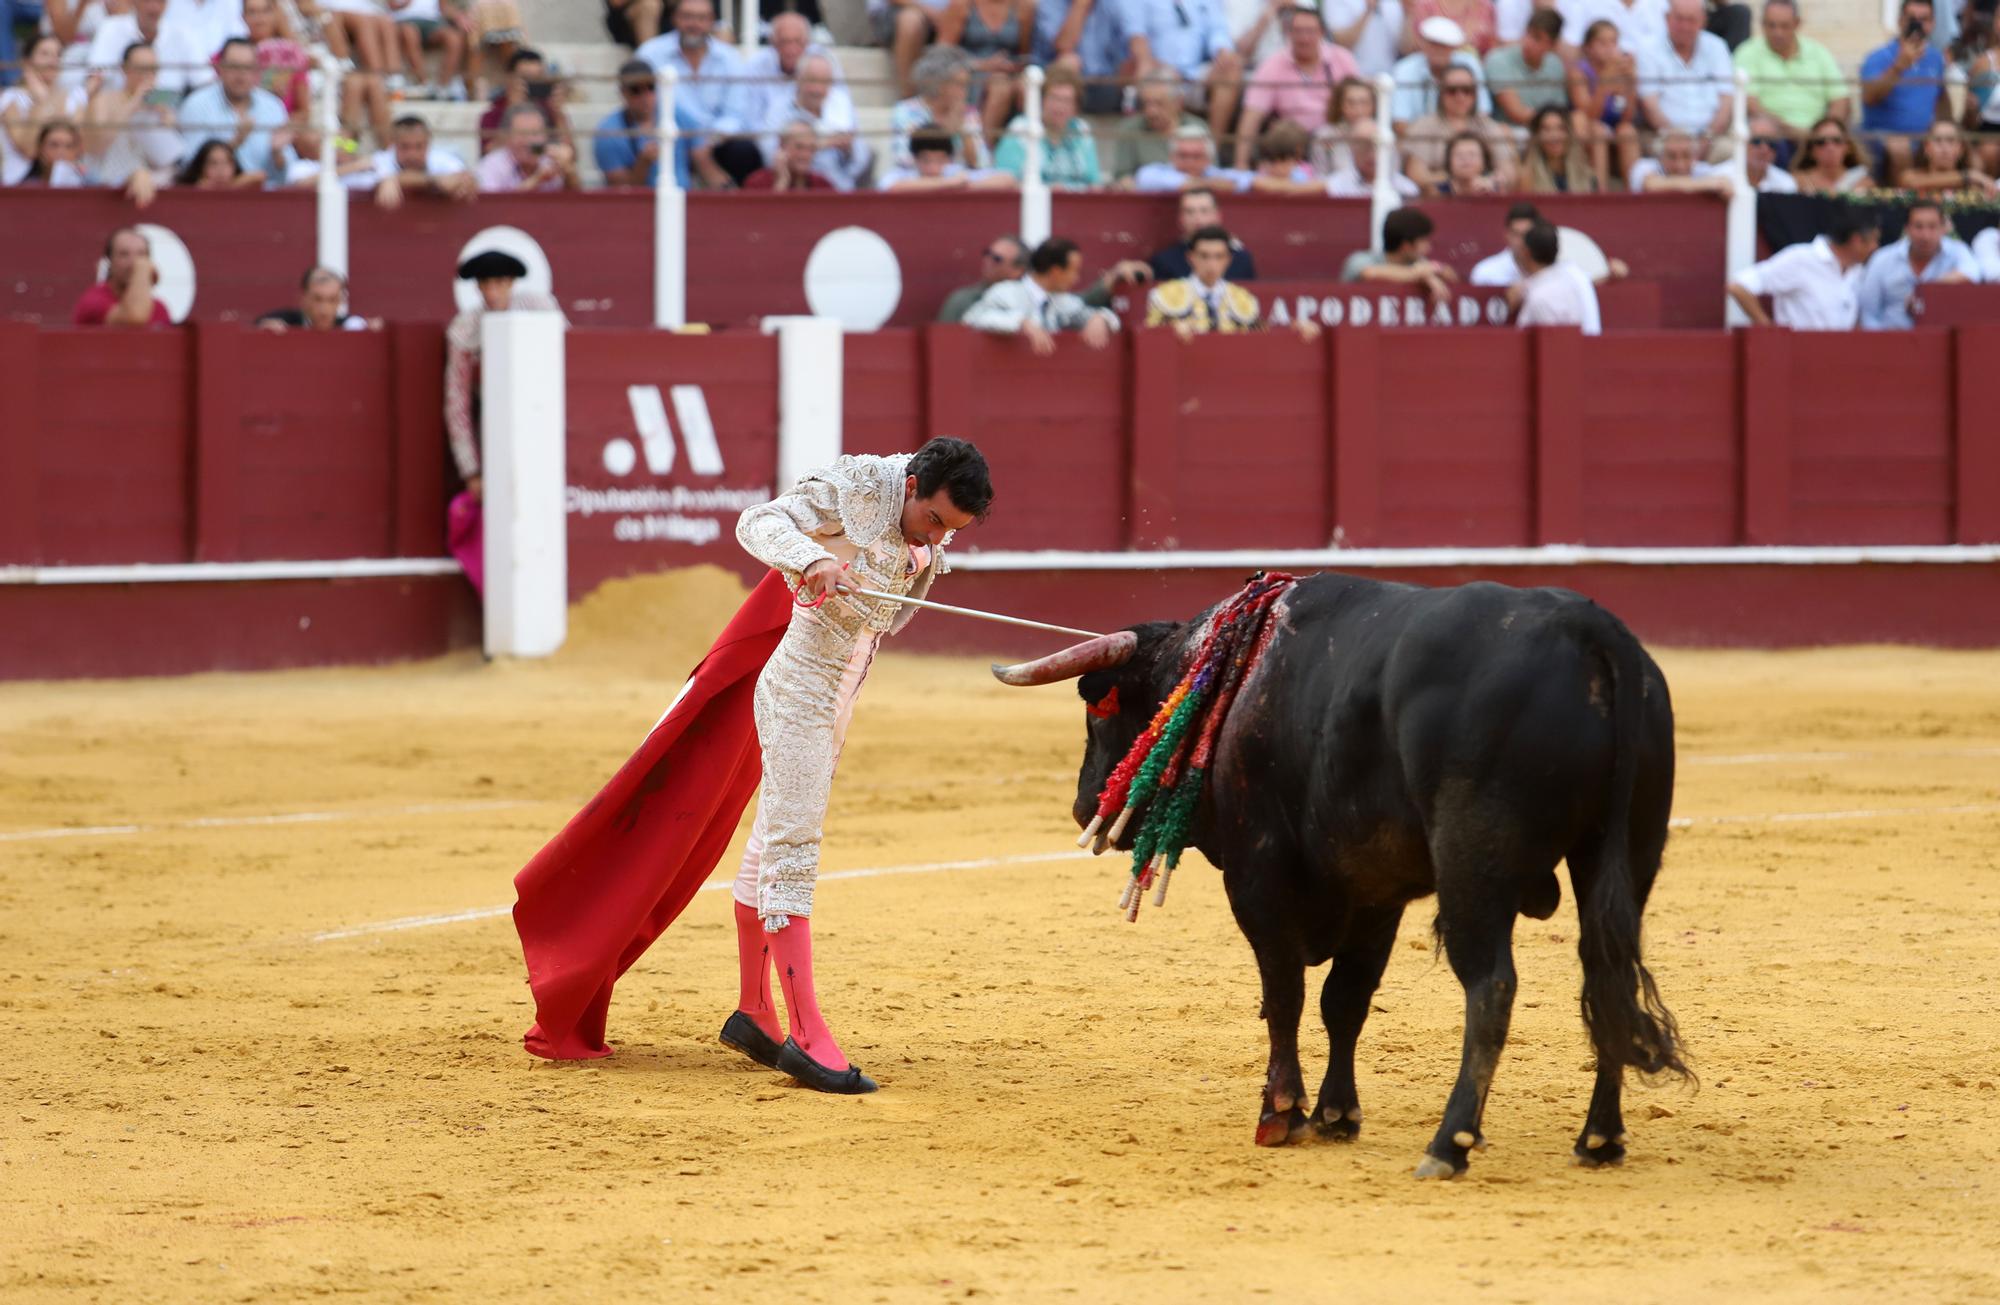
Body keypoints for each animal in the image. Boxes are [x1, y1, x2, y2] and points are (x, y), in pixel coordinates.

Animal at [992, 576, 1680, 1176]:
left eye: (1097, 712)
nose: (1083, 805)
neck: (1234, 681)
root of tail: (1590, 632)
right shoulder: (1375, 894)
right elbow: (1344, 999)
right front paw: (1336, 1114)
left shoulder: (1257, 877)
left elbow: (1285, 993)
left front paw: (1282, 1113)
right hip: (1626, 855)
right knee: (1605, 974)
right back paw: (1599, 1138)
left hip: (1472, 865)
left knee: (1492, 985)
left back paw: (1448, 1144)